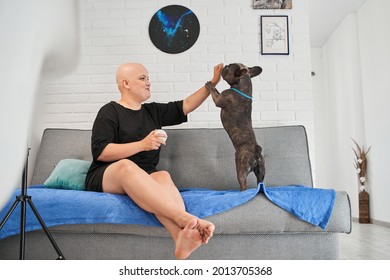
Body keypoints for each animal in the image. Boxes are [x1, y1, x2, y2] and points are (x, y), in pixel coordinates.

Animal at [204, 62, 266, 191]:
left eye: (228, 68)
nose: (225, 65)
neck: (242, 88)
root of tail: (256, 151)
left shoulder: (220, 98)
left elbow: (215, 91)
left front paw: (210, 84)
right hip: (261, 173)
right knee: (260, 183)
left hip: (241, 170)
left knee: (243, 184)